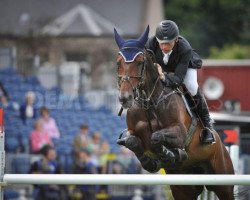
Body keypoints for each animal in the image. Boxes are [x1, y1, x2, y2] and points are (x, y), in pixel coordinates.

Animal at [114, 25, 235, 199]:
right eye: (118, 63)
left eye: (140, 62)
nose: (125, 98)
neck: (149, 103)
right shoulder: (132, 133)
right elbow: (131, 141)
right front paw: (151, 162)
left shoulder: (180, 133)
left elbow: (156, 137)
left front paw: (169, 154)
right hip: (183, 188)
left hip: (223, 181)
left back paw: (207, 134)